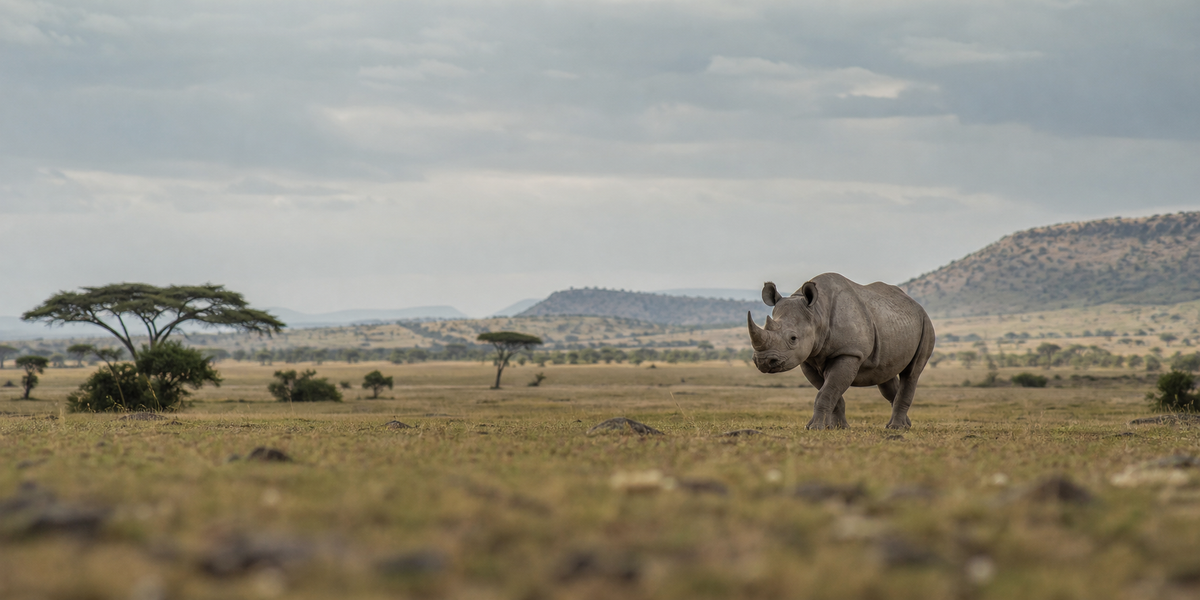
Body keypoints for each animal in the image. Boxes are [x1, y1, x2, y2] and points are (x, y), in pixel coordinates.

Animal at [747, 273, 935, 430]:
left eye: (793, 338)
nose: (763, 361)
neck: (817, 312)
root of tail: (915, 303)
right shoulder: (809, 358)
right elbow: (830, 392)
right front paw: (837, 427)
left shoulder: (849, 352)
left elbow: (827, 391)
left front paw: (815, 427)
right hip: (894, 322)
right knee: (886, 376)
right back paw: (904, 425)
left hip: (926, 323)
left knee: (911, 373)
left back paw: (897, 428)